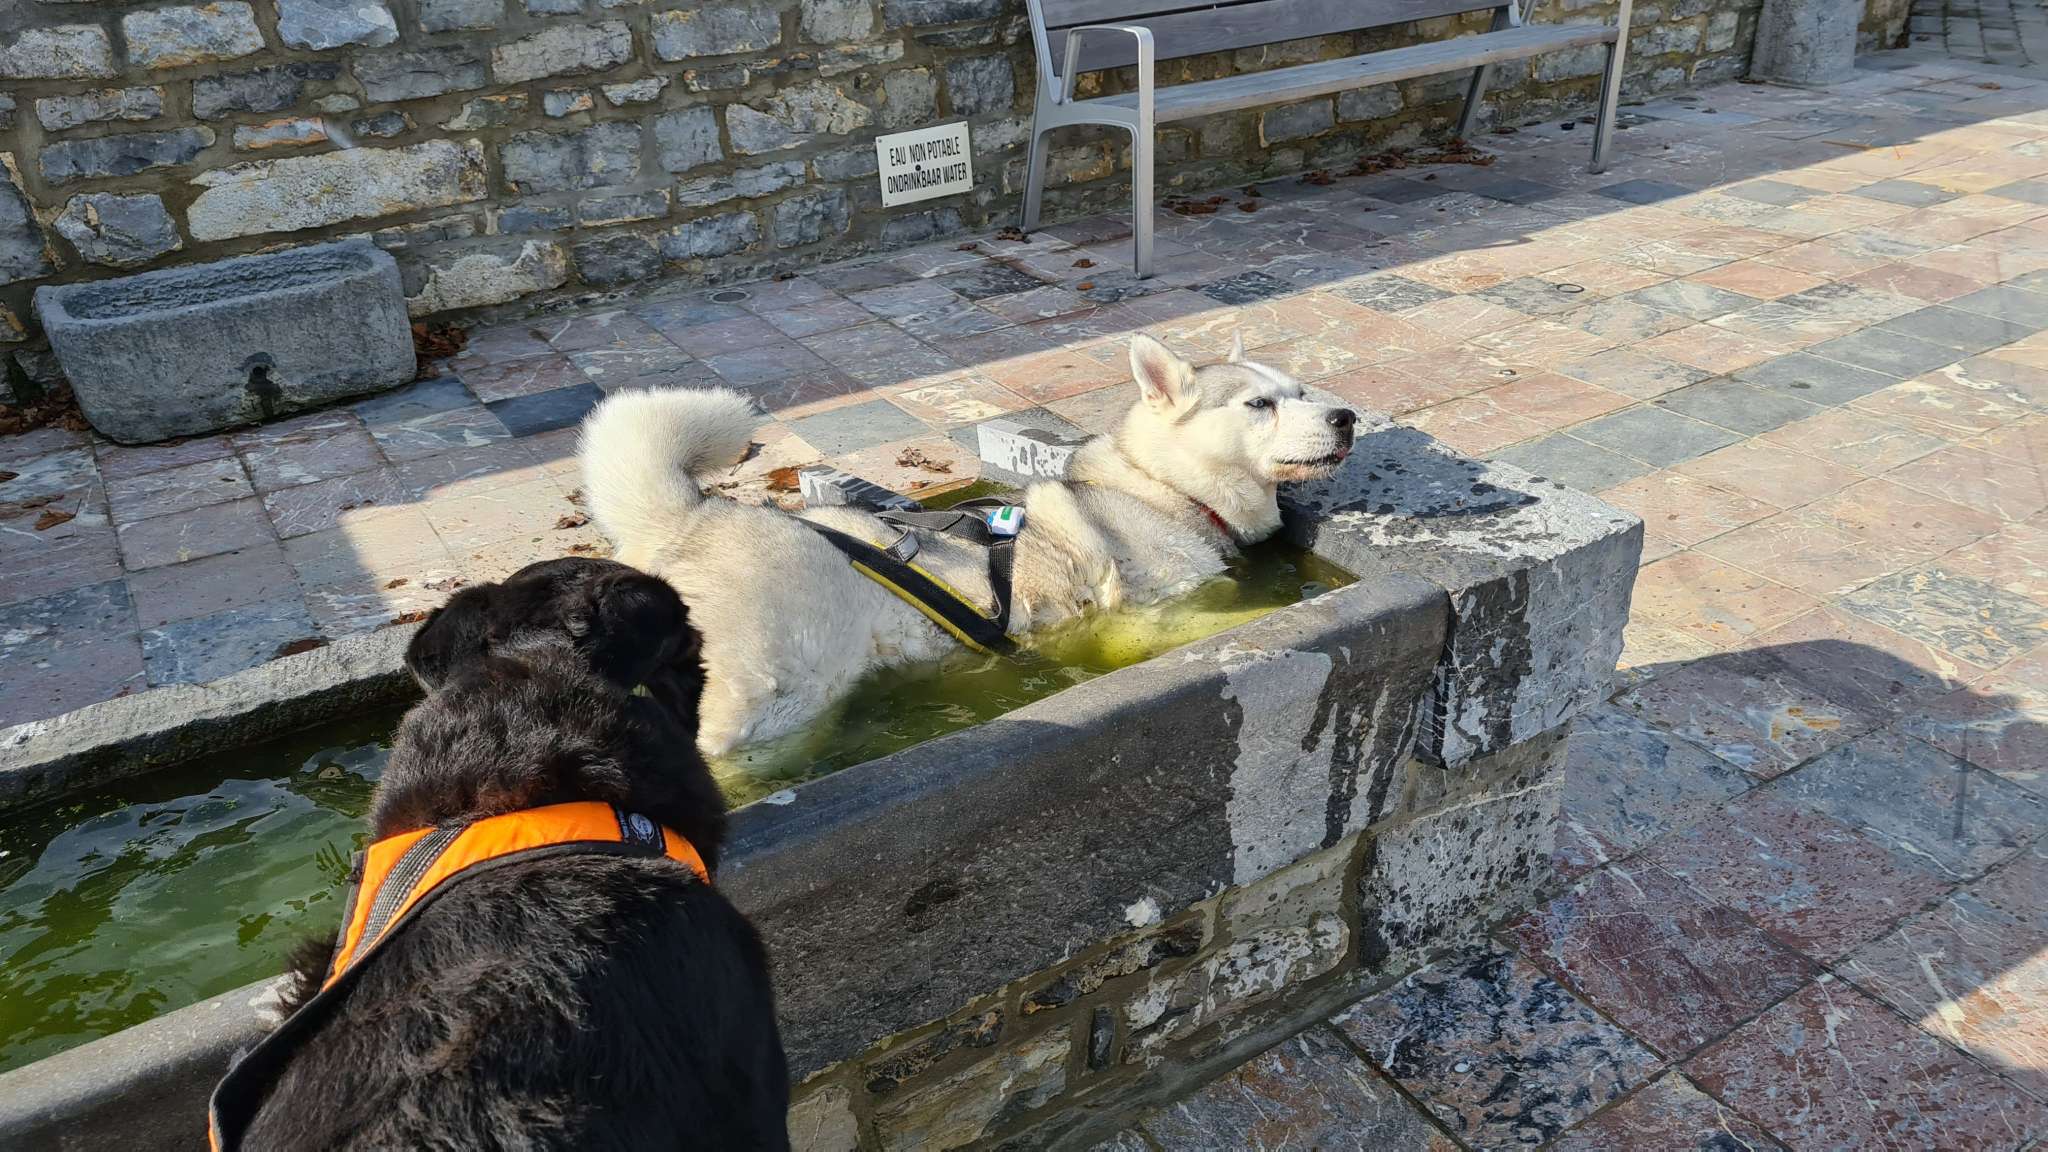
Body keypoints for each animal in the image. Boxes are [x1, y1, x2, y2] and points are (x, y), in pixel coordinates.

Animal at [578, 333, 1356, 755]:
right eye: (1259, 404)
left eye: (1303, 390)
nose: (1346, 415)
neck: (1156, 487)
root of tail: (690, 516)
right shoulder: (1139, 621)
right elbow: (1241, 620)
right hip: (776, 698)